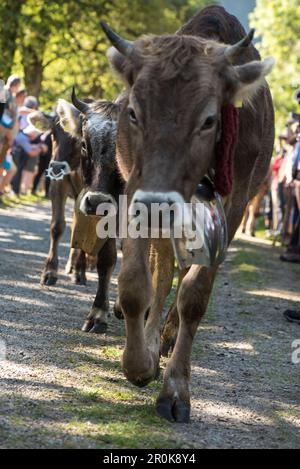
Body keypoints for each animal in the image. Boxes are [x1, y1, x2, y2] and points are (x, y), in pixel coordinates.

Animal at [100, 3, 274, 420]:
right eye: (134, 112)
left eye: (209, 119)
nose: (157, 204)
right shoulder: (136, 190)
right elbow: (137, 283)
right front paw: (139, 363)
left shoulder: (234, 205)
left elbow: (195, 294)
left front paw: (175, 390)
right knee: (164, 273)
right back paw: (153, 340)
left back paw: (167, 336)